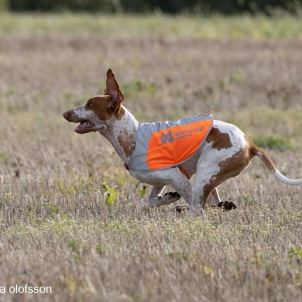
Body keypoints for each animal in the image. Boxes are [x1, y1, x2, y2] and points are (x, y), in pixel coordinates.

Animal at [62, 69, 300, 215]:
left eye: (90, 104)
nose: (65, 113)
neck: (131, 135)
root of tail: (249, 143)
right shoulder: (158, 181)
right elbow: (151, 201)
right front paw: (168, 198)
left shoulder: (177, 176)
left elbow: (190, 200)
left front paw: (175, 201)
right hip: (212, 178)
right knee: (211, 203)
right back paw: (222, 205)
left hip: (205, 172)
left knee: (198, 208)